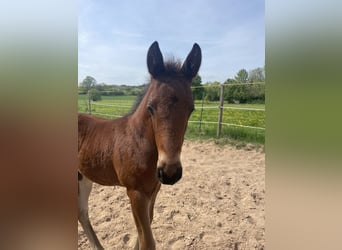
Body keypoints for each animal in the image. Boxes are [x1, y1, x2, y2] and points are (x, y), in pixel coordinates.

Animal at [79, 41, 202, 250]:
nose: (169, 172)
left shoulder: (153, 190)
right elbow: (147, 240)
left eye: (191, 109)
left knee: (82, 212)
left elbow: (142, 234)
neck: (139, 144)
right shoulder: (135, 193)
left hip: (84, 177)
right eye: (150, 108)